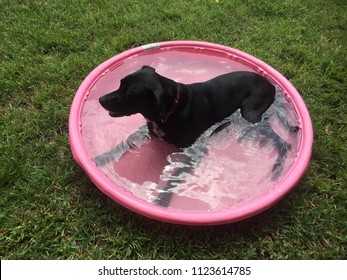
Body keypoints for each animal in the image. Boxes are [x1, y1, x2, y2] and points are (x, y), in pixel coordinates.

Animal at [98, 65, 296, 206]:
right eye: (120, 84)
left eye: (128, 94)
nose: (101, 99)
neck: (171, 108)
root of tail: (271, 85)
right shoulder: (149, 132)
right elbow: (124, 143)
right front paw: (103, 157)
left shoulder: (194, 152)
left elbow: (174, 178)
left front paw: (162, 201)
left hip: (250, 114)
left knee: (284, 143)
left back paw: (277, 170)